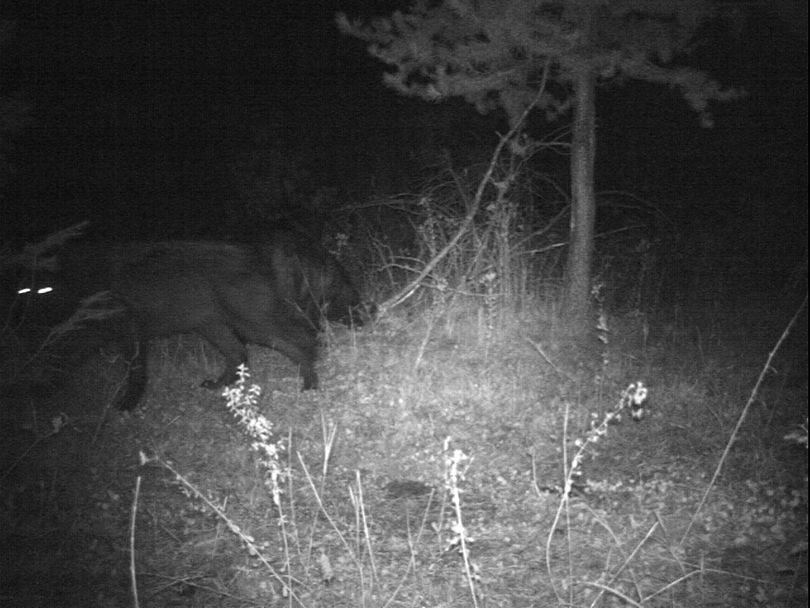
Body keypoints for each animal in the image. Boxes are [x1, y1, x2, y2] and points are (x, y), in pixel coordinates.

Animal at [5, 232, 366, 408]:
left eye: (37, 289)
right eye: (21, 289)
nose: (16, 320)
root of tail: (257, 251)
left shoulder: (126, 328)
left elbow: (134, 370)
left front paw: (126, 405)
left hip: (252, 320)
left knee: (301, 340)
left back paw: (309, 384)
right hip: (212, 323)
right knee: (239, 353)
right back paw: (219, 385)